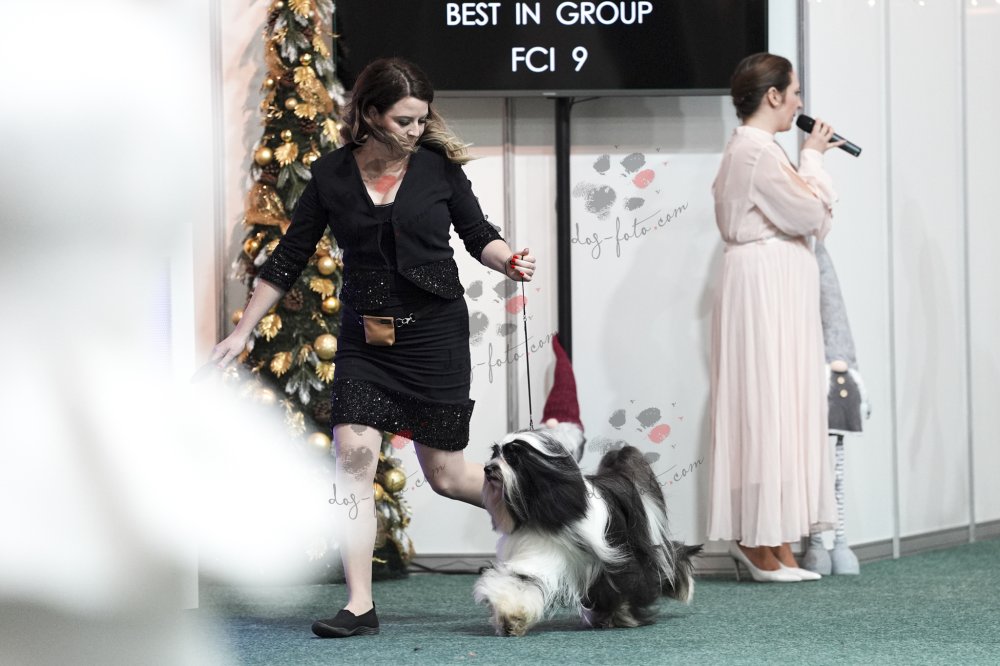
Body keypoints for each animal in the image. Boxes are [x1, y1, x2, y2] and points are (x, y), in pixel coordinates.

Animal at [474, 429, 702, 636]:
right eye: (495, 453)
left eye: (513, 456)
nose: (488, 468)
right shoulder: (537, 554)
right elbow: (520, 580)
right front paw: (510, 618)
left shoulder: (612, 560)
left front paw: (623, 615)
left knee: (668, 559)